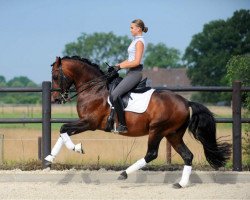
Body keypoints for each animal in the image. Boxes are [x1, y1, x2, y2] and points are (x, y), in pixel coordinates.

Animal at [47, 55, 230, 188]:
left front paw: (77, 148)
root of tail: (186, 102)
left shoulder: (89, 123)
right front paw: (50, 158)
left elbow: (63, 128)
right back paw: (181, 184)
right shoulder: (85, 122)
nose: (55, 99)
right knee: (187, 155)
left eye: (55, 76)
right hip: (173, 134)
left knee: (152, 154)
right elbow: (63, 131)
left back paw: (124, 174)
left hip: (157, 130)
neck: (94, 89)